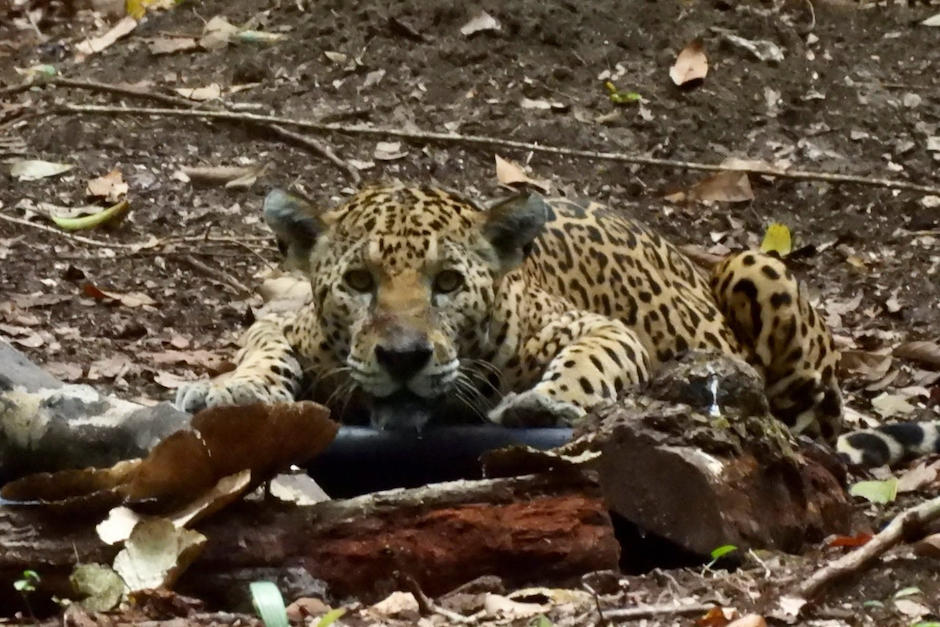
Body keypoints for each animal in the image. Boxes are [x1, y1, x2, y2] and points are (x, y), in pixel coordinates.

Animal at [175, 183, 937, 467]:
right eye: (359, 283)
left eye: (448, 283)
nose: (404, 357)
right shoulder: (285, 324)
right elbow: (261, 350)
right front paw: (229, 389)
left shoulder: (601, 329)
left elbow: (592, 359)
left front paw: (543, 401)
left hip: (756, 264)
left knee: (820, 420)